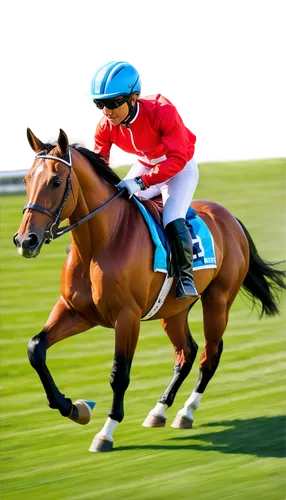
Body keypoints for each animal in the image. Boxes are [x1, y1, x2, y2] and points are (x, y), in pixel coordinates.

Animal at [13, 128, 286, 454]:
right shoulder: (76, 310)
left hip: (218, 301)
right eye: (27, 180)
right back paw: (159, 410)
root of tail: (230, 219)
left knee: (210, 354)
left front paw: (106, 432)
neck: (102, 241)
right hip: (175, 310)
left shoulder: (126, 317)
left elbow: (119, 374)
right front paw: (75, 408)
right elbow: (36, 348)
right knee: (186, 352)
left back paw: (186, 412)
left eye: (55, 181)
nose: (25, 240)